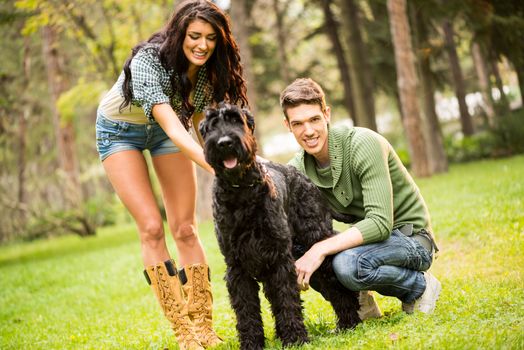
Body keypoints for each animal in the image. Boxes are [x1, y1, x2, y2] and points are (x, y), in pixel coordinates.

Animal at [200, 102, 360, 348]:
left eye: (236, 120)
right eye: (211, 125)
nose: (224, 142)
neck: (242, 192)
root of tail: (308, 182)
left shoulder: (279, 260)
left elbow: (286, 299)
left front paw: (295, 338)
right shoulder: (237, 265)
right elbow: (246, 309)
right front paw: (251, 342)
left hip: (314, 239)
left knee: (333, 276)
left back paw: (349, 320)